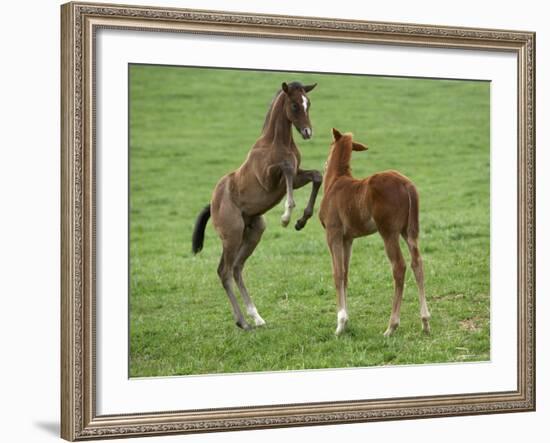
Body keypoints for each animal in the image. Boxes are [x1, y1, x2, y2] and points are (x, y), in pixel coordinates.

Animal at [193, 81, 324, 330]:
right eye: (294, 105)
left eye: (308, 103)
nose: (307, 132)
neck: (277, 142)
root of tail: (213, 203)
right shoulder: (269, 178)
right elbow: (286, 167)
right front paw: (286, 215)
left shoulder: (297, 177)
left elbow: (317, 176)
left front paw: (301, 220)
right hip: (232, 235)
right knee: (224, 271)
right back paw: (243, 322)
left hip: (254, 232)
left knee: (236, 268)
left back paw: (257, 317)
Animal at [322, 128, 434, 336]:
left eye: (330, 145)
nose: (324, 165)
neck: (335, 182)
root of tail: (406, 184)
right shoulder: (348, 238)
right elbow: (346, 274)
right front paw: (346, 322)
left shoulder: (333, 235)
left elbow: (338, 274)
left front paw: (340, 324)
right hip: (408, 231)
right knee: (417, 263)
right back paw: (425, 322)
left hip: (388, 232)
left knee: (399, 266)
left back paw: (391, 326)